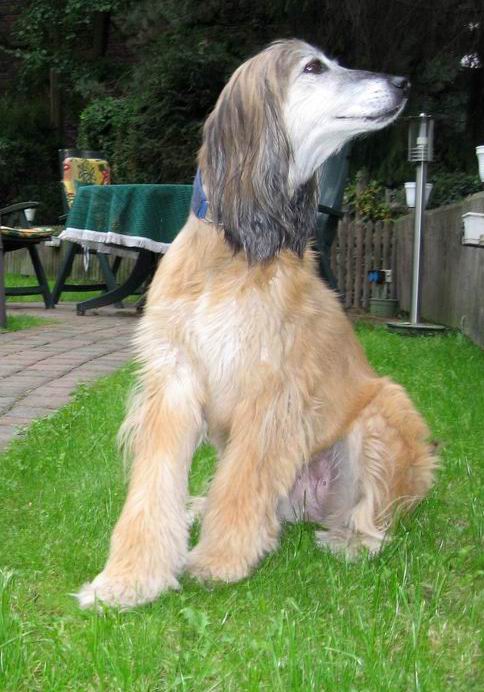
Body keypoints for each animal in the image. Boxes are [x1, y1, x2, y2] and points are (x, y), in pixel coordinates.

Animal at [77, 39, 437, 608]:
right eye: (314, 67)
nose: (402, 84)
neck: (234, 251)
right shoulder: (173, 379)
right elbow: (154, 485)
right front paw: (128, 578)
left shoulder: (269, 388)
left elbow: (242, 484)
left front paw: (220, 562)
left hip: (386, 410)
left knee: (376, 512)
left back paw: (353, 538)